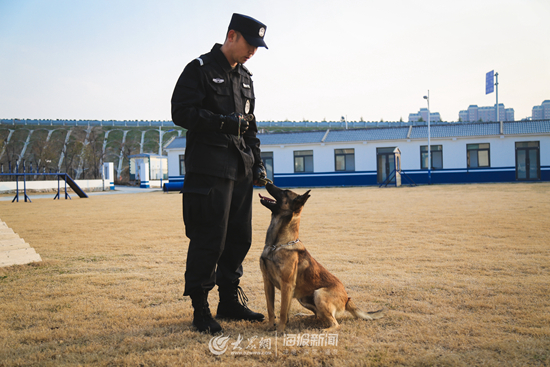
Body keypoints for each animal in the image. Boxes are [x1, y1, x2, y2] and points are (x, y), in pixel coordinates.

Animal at [260, 184, 386, 334]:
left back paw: (323, 330)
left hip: (319, 294)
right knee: (318, 316)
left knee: (335, 323)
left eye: (285, 192)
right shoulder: (268, 282)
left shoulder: (287, 285)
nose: (267, 182)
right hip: (303, 297)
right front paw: (270, 327)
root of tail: (347, 299)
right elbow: (271, 309)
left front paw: (279, 331)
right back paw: (304, 316)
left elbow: (283, 312)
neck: (276, 245)